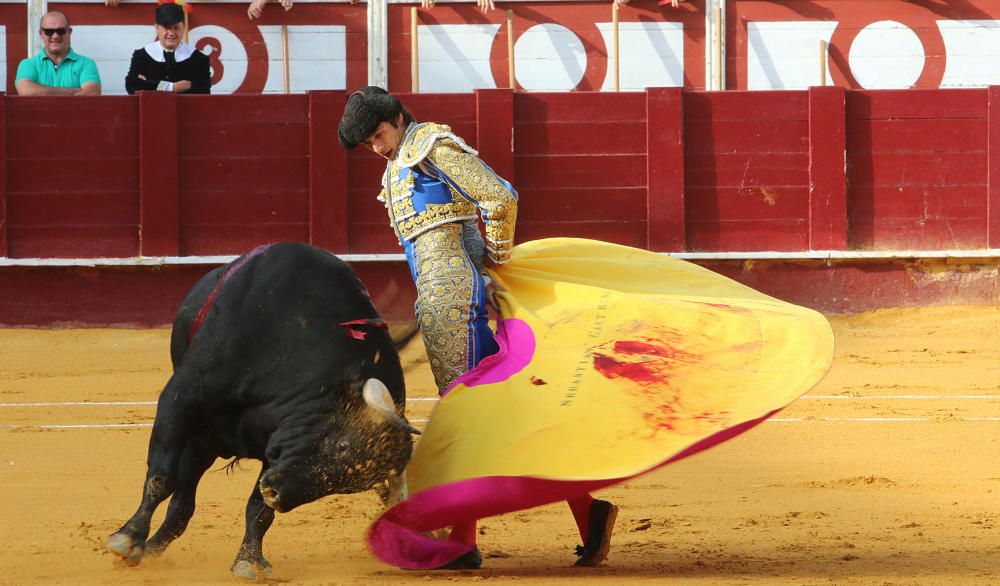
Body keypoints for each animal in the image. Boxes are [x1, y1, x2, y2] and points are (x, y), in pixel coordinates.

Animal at [107, 241, 420, 576]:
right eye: (341, 446)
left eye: (348, 485)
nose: (277, 494)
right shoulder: (181, 398)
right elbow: (161, 477)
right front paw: (127, 539)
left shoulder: (279, 441)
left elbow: (258, 510)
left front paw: (249, 560)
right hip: (200, 435)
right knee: (181, 495)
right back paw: (145, 548)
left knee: (184, 505)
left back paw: (154, 549)